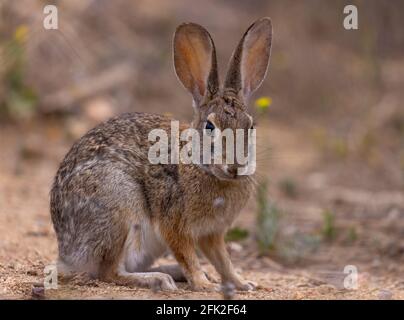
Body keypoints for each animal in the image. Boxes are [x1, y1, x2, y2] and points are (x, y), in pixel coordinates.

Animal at [49, 18, 272, 292]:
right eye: (210, 127)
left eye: (250, 126)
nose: (235, 166)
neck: (200, 165)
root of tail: (67, 253)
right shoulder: (174, 224)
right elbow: (188, 255)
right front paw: (203, 285)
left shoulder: (212, 233)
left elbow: (223, 261)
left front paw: (243, 284)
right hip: (120, 209)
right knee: (108, 272)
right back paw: (159, 279)